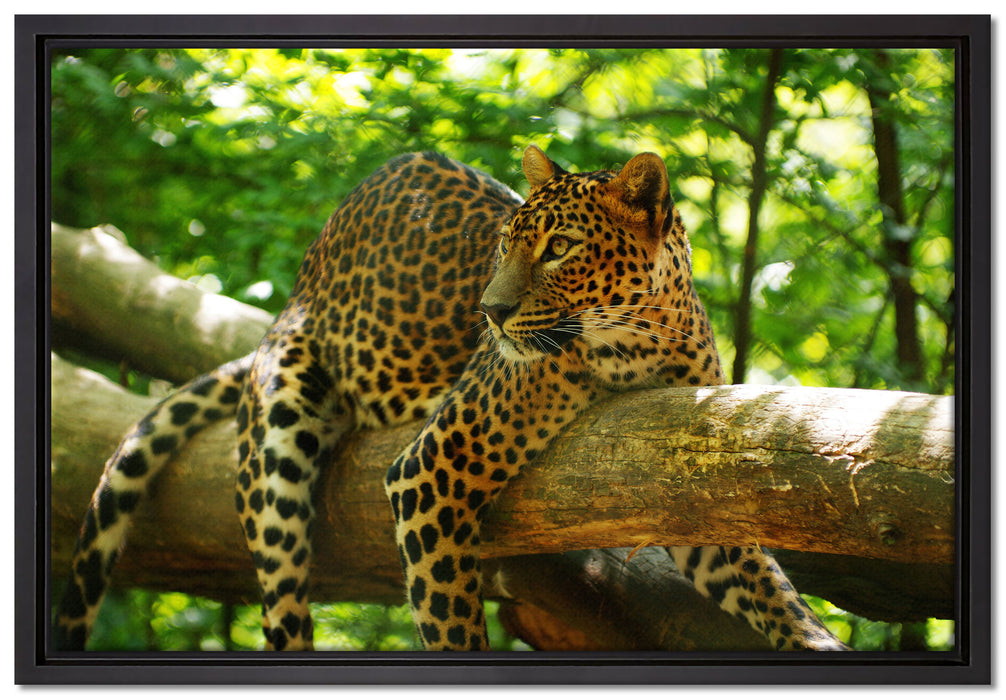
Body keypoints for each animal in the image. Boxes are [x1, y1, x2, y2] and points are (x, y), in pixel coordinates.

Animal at [53, 146, 848, 652]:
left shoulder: (683, 478)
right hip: (279, 438)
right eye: (507, 241)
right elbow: (450, 619)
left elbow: (769, 587)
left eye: (560, 248)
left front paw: (812, 638)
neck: (640, 342)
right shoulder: (429, 471)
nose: (489, 313)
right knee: (284, 600)